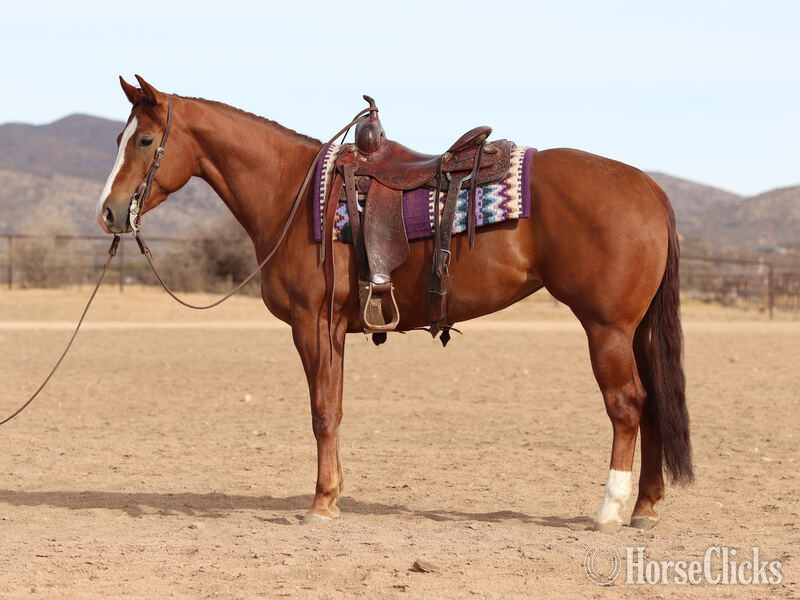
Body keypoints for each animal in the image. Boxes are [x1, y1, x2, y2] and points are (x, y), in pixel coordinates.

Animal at [96, 75, 692, 533]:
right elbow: (334, 409)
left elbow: (321, 412)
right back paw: (645, 507)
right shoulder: (333, 330)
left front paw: (320, 504)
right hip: (634, 330)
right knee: (653, 404)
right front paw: (332, 496)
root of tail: (648, 187)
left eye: (144, 140)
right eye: (121, 138)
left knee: (628, 404)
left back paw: (610, 511)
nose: (108, 212)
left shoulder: (311, 324)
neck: (293, 193)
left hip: (606, 327)